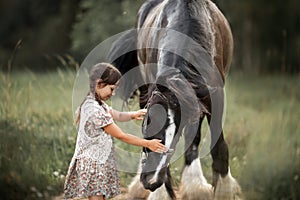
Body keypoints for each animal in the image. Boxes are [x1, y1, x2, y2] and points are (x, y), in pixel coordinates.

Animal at [108, 0, 241, 200]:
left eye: (176, 135)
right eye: (146, 127)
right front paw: (161, 194)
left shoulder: (213, 97)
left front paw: (224, 191)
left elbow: (218, 147)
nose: (151, 181)